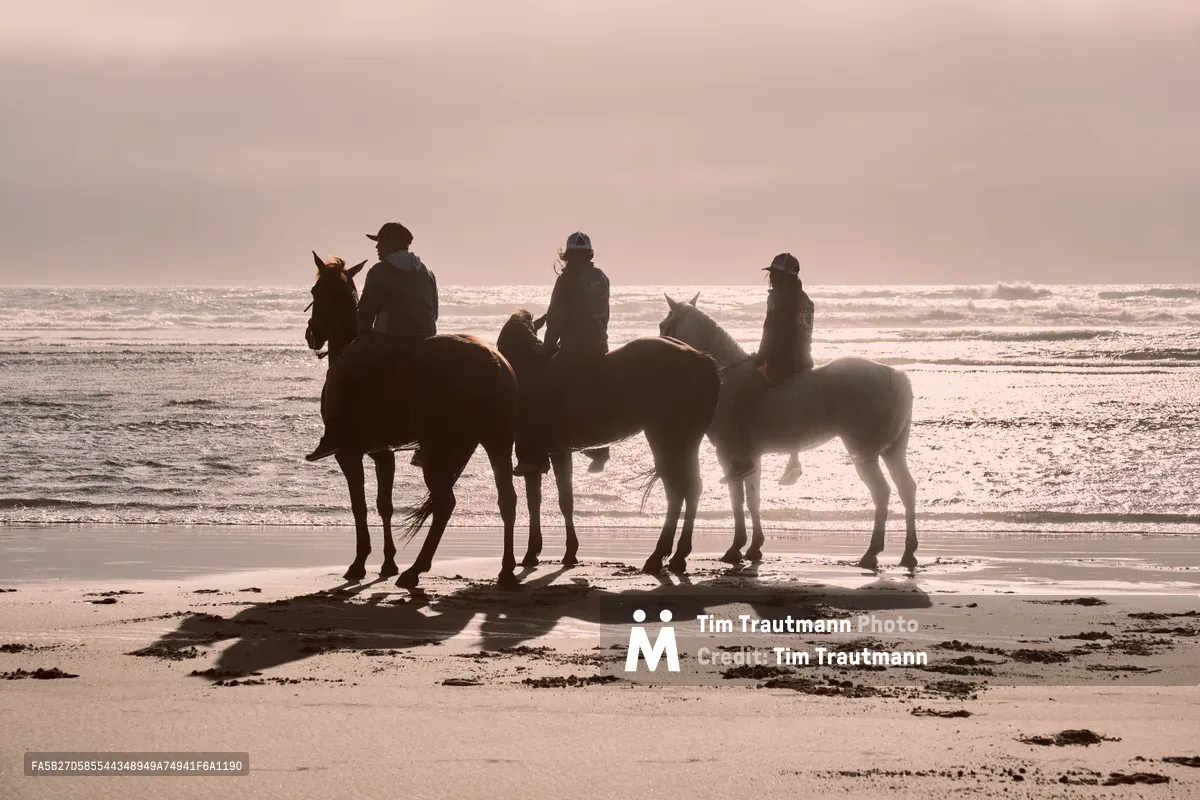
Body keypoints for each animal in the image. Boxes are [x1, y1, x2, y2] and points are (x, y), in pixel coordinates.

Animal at [305, 252, 520, 588]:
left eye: (316, 291)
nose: (311, 333)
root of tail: (494, 363)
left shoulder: (348, 453)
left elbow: (359, 506)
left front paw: (359, 563)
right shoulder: (383, 453)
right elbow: (384, 505)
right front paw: (387, 562)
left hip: (440, 450)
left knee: (445, 504)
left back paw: (416, 569)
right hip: (495, 442)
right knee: (506, 499)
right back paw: (506, 569)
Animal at [497, 310, 721, 575]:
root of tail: (698, 358)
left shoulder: (535, 454)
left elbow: (535, 501)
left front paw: (533, 552)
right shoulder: (560, 452)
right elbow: (564, 500)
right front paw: (569, 551)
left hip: (665, 437)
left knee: (677, 491)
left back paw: (659, 556)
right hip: (686, 441)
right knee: (690, 488)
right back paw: (677, 556)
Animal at [658, 295, 918, 571]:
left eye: (664, 326)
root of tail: (895, 375)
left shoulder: (729, 454)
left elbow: (738, 499)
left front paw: (736, 547)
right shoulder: (751, 457)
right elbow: (753, 498)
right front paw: (754, 547)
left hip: (864, 452)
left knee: (882, 492)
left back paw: (871, 553)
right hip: (892, 451)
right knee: (906, 489)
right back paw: (908, 553)